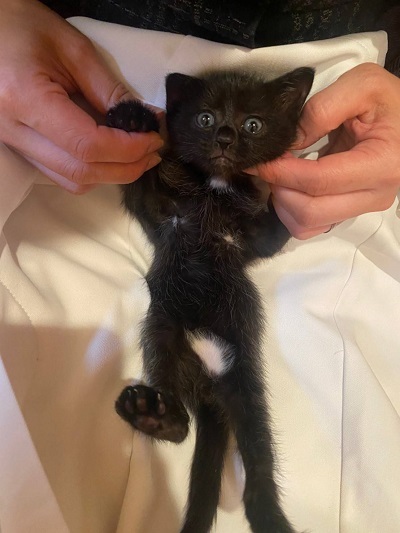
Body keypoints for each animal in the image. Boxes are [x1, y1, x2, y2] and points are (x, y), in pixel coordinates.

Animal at [107, 66, 314, 533]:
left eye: (252, 124)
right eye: (205, 118)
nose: (223, 136)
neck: (215, 188)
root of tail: (209, 386)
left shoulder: (252, 242)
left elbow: (274, 230)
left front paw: (290, 182)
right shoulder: (163, 214)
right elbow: (139, 184)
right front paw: (131, 120)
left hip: (247, 384)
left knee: (258, 462)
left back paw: (269, 515)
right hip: (163, 333)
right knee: (180, 425)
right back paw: (153, 415)